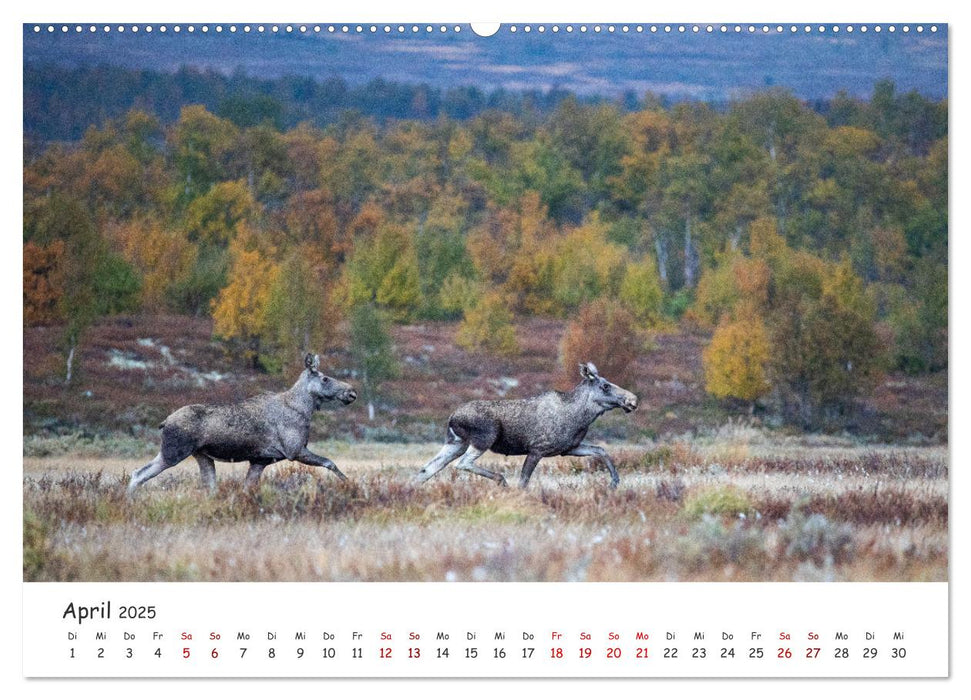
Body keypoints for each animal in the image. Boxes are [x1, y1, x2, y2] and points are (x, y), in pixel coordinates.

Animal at [127, 352, 358, 494]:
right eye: (325, 378)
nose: (351, 392)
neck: (304, 409)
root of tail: (164, 422)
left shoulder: (260, 461)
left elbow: (248, 488)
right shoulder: (295, 450)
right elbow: (330, 463)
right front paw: (349, 483)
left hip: (201, 456)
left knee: (208, 486)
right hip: (174, 452)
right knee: (139, 474)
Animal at [416, 364, 636, 490]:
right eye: (605, 386)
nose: (632, 400)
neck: (581, 419)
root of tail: (452, 417)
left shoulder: (568, 448)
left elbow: (601, 450)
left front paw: (614, 482)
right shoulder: (537, 449)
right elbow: (523, 482)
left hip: (455, 443)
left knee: (426, 469)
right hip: (483, 439)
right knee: (462, 463)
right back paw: (501, 480)